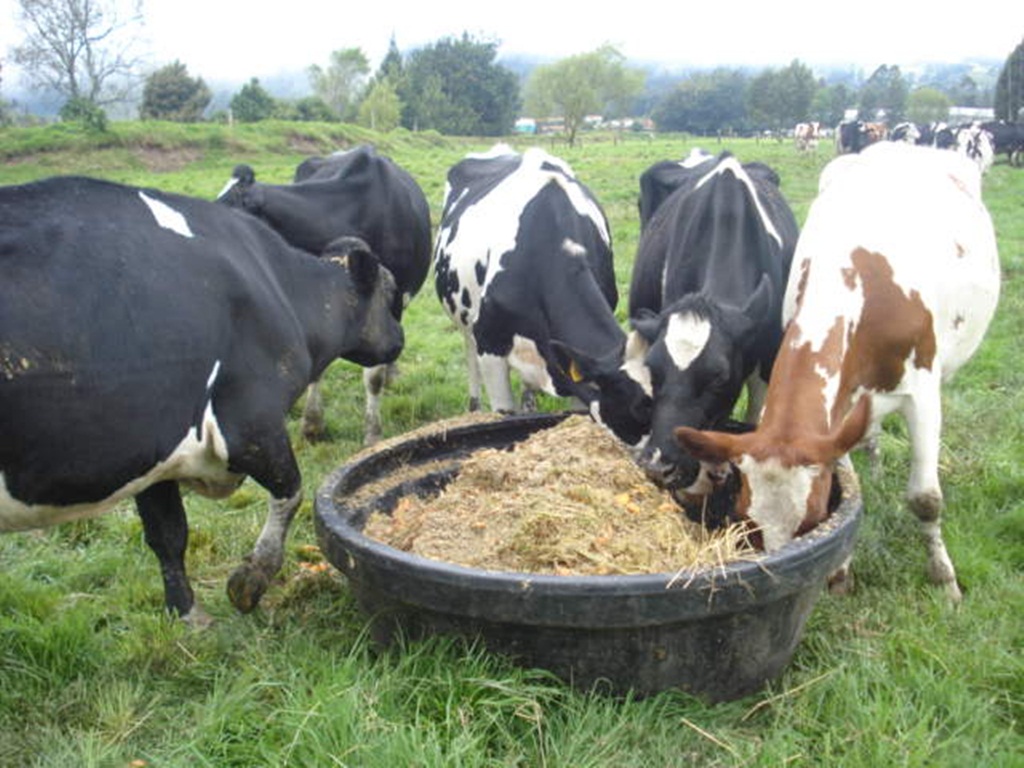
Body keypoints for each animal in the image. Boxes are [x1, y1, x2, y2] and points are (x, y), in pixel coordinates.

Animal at [0, 175, 405, 624]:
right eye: (388, 293)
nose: (399, 338)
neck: (281, 293)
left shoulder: (153, 450)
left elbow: (168, 533)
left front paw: (188, 613)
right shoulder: (249, 423)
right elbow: (292, 492)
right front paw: (250, 579)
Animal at [674, 142, 1000, 601]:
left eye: (812, 520)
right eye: (747, 521)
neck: (859, 285)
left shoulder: (922, 391)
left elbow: (925, 498)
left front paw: (945, 581)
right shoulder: (837, 407)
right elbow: (850, 481)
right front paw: (841, 570)